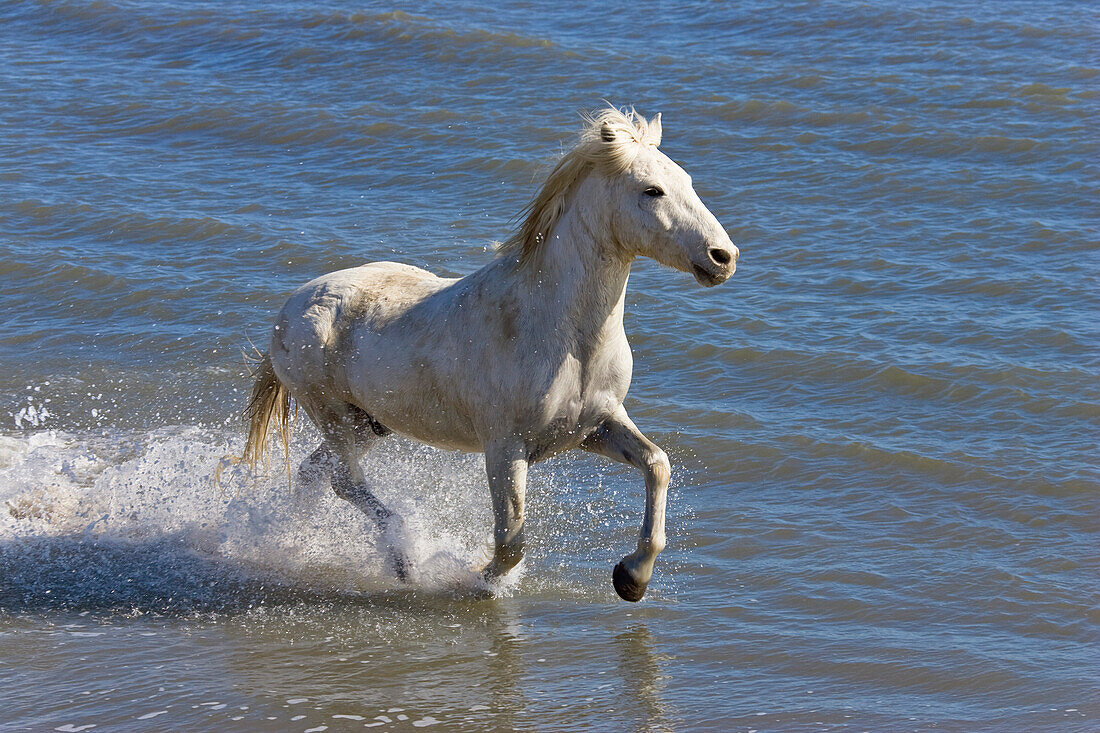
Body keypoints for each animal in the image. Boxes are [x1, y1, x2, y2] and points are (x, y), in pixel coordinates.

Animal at [240, 108, 739, 598]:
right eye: (651, 191)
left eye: (687, 181)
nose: (723, 257)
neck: (565, 338)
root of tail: (289, 309)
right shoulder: (504, 449)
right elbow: (511, 538)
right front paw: (478, 579)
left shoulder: (594, 427)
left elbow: (657, 464)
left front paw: (631, 578)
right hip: (335, 416)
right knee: (344, 480)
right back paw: (403, 559)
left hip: (368, 424)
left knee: (315, 475)